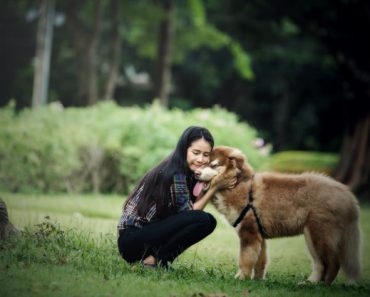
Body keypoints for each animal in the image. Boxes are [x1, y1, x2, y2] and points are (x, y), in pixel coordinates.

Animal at [197, 145, 362, 282]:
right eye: (202, 163)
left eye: (213, 165)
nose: (196, 172)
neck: (239, 184)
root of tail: (347, 195)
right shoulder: (259, 234)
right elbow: (260, 261)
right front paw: (257, 280)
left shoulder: (248, 232)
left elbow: (245, 259)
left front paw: (240, 277)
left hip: (317, 234)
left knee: (329, 263)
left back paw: (315, 284)